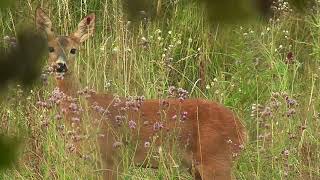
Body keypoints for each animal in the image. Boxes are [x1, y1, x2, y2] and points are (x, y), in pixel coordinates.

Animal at [36, 7, 248, 180]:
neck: (86, 111)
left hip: (216, 159)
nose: (60, 66)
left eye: (74, 50)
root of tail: (242, 128)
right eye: (50, 48)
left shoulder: (111, 157)